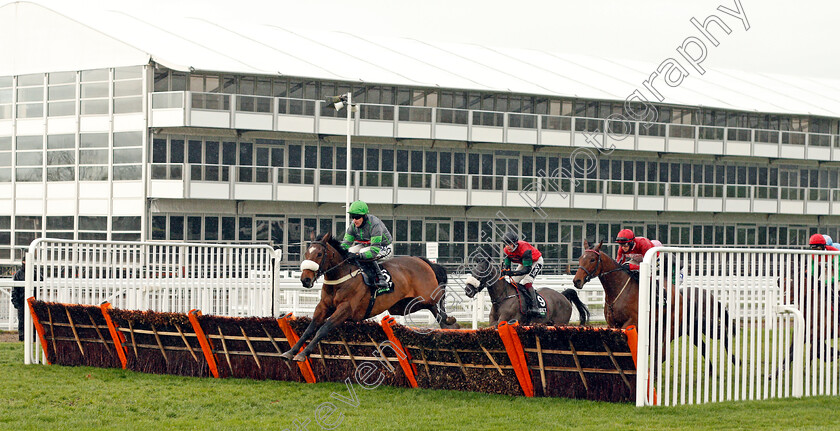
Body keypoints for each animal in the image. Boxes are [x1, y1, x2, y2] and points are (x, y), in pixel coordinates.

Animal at [280, 235, 460, 362]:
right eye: (306, 253)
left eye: (319, 253)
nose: (305, 279)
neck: (341, 277)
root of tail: (424, 261)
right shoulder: (323, 306)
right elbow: (310, 328)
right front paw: (291, 352)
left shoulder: (345, 310)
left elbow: (323, 329)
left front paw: (302, 354)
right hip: (402, 306)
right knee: (434, 309)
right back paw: (450, 324)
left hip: (425, 295)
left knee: (438, 299)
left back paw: (450, 319)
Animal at [572, 241, 736, 366]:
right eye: (580, 258)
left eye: (592, 260)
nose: (576, 281)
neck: (618, 290)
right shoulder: (612, 323)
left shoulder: (632, 321)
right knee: (701, 346)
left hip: (692, 325)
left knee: (723, 334)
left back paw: (735, 361)